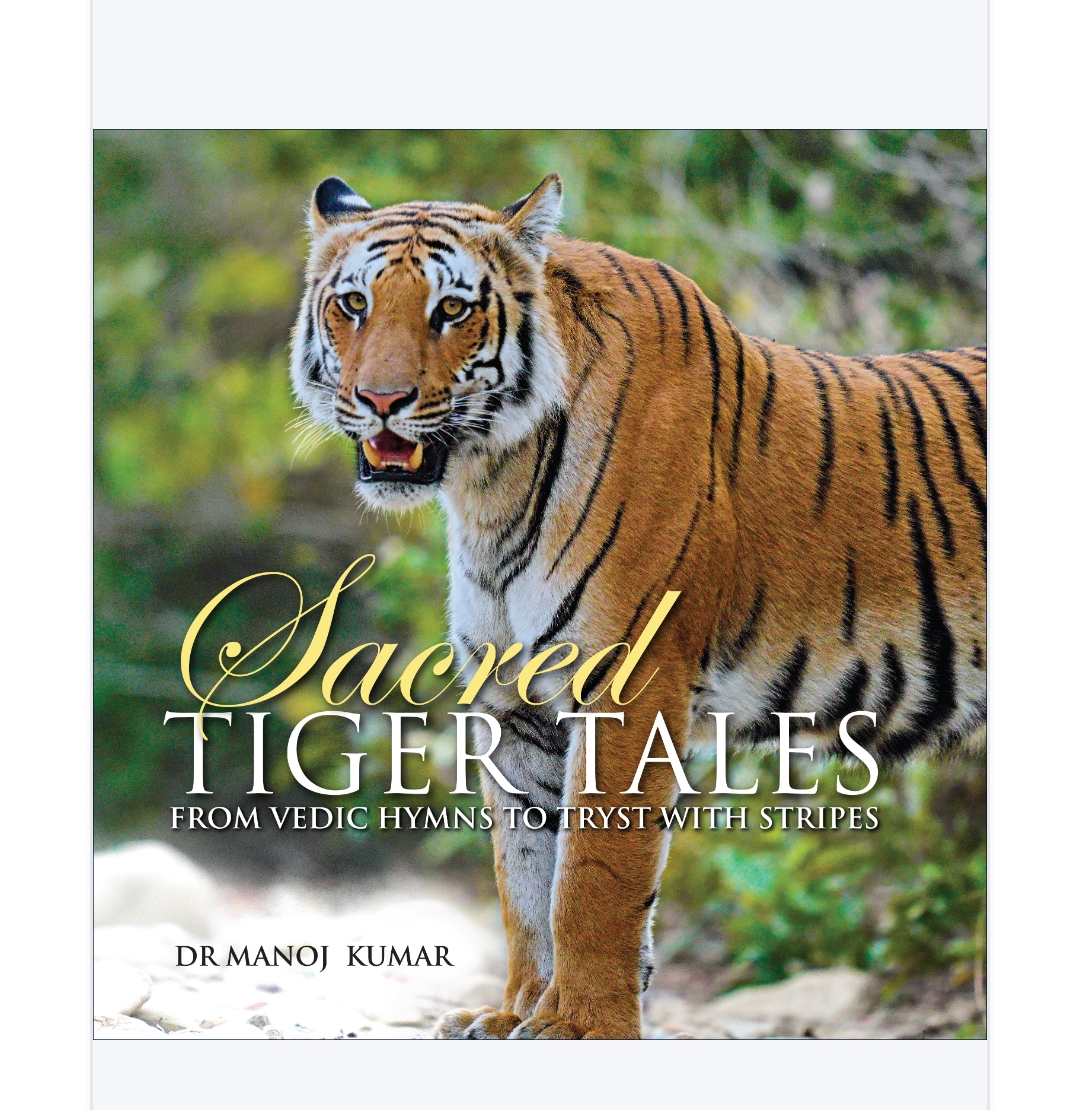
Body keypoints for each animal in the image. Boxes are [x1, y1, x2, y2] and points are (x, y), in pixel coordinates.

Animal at [290, 172, 986, 1039]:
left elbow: (593, 877)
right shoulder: (515, 702)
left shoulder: (629, 681)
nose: (381, 400)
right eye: (353, 304)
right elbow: (526, 876)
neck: (490, 485)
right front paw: (515, 1012)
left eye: (449, 310)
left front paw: (579, 1026)